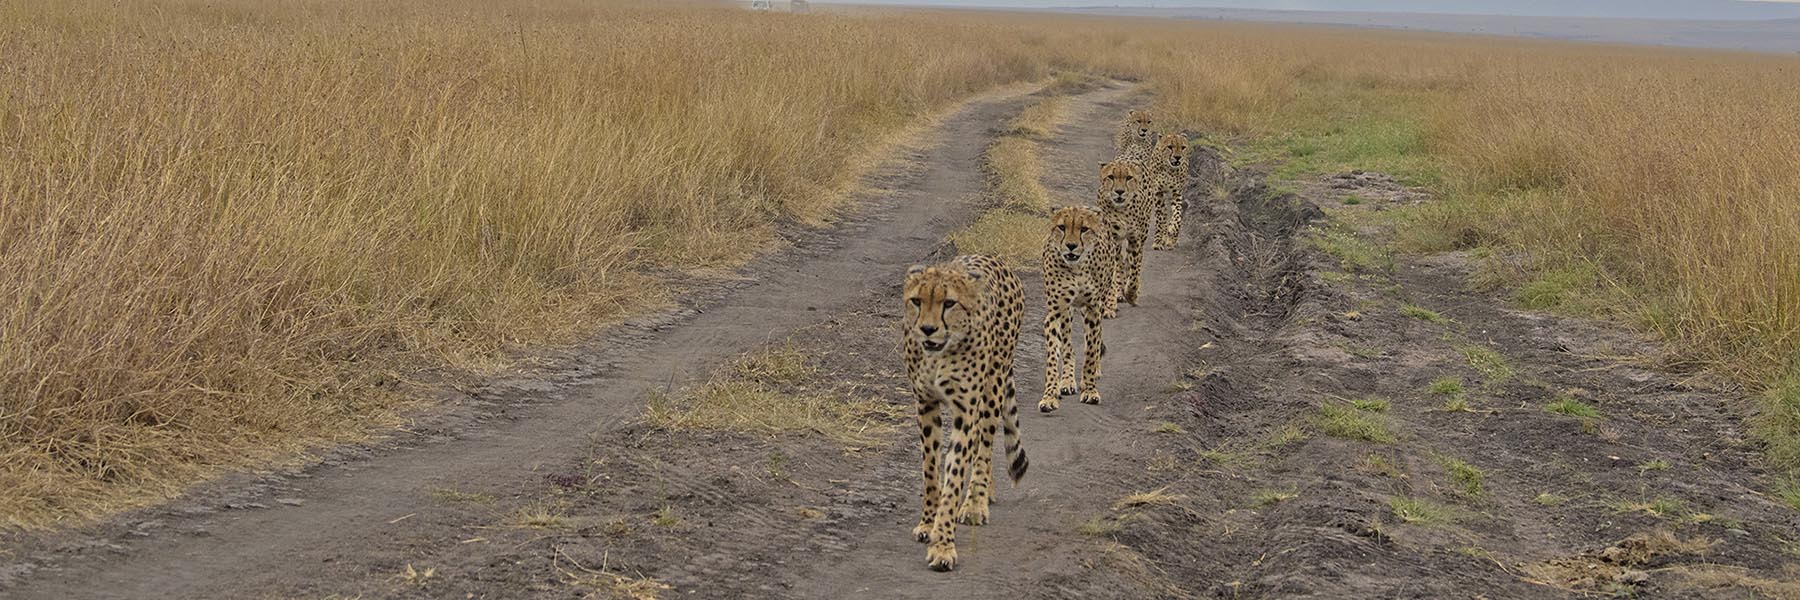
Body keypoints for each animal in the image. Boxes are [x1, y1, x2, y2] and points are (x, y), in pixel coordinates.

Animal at [900, 254, 1029, 569]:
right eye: (917, 301)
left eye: (949, 303)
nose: (928, 329)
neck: (938, 354)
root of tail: (995, 258)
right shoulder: (925, 405)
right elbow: (930, 470)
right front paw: (928, 522)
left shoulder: (965, 410)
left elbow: (956, 470)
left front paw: (943, 544)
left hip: (993, 384)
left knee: (985, 444)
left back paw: (975, 502)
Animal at [1044, 207, 1108, 410]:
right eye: (1062, 227)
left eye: (1084, 229)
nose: (1071, 246)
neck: (1076, 268)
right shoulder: (1055, 312)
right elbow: (1053, 355)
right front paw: (1049, 395)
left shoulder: (1093, 309)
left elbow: (1091, 352)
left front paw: (1090, 390)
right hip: (1067, 312)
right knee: (1068, 348)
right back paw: (1066, 381)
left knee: (1095, 342)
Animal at [1087, 158, 1144, 306]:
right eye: (1111, 177)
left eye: (1128, 178)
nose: (1119, 191)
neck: (1122, 209)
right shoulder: (1113, 238)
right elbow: (1117, 268)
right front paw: (1117, 293)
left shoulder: (1135, 239)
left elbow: (1134, 269)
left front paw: (1131, 294)